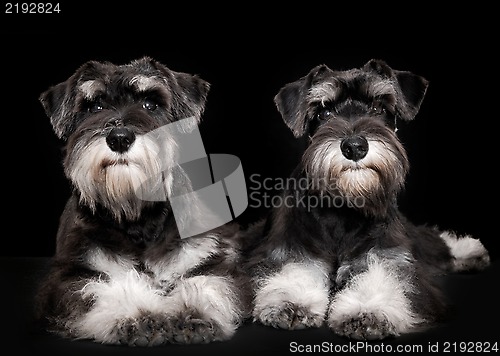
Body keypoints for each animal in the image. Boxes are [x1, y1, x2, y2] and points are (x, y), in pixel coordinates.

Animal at [34, 57, 249, 346]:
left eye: (150, 104)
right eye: (95, 106)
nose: (119, 138)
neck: (137, 217)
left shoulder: (210, 262)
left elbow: (207, 282)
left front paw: (192, 313)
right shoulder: (73, 275)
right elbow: (106, 288)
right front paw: (138, 316)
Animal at [248, 57, 490, 340]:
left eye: (377, 106)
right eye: (324, 112)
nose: (354, 147)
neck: (344, 208)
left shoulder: (388, 254)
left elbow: (380, 274)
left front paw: (368, 311)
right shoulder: (293, 246)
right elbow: (296, 268)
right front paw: (290, 302)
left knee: (435, 241)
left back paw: (471, 251)